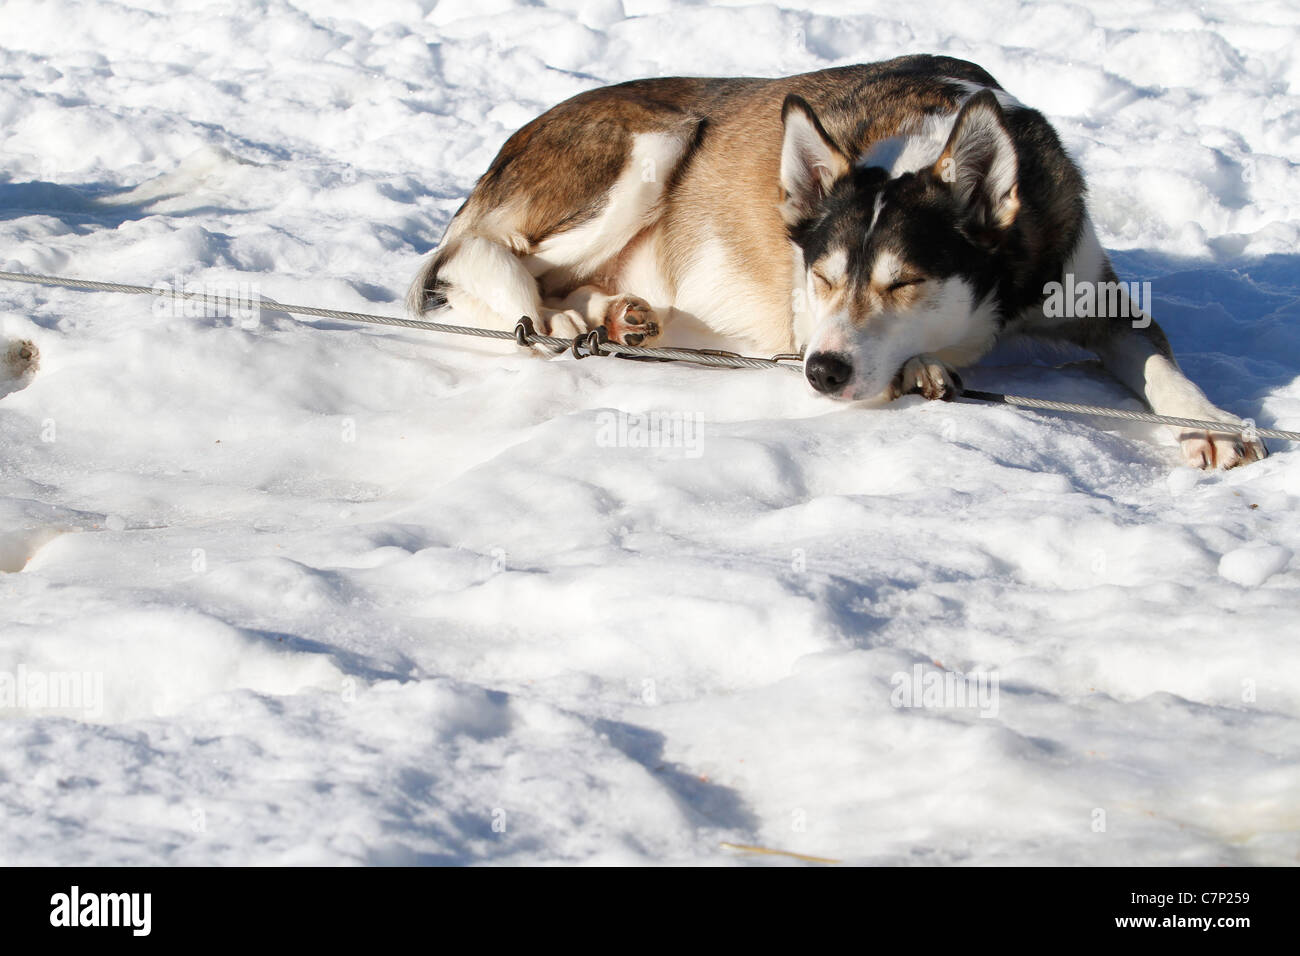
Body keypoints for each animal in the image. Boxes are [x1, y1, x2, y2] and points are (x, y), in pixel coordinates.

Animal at [410, 55, 1263, 468]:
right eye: (821, 278)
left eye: (906, 281)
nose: (821, 371)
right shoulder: (807, 317)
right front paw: (922, 369)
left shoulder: (1088, 286)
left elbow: (1157, 361)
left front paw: (1207, 421)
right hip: (655, 143)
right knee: (469, 262)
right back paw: (552, 317)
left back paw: (610, 316)